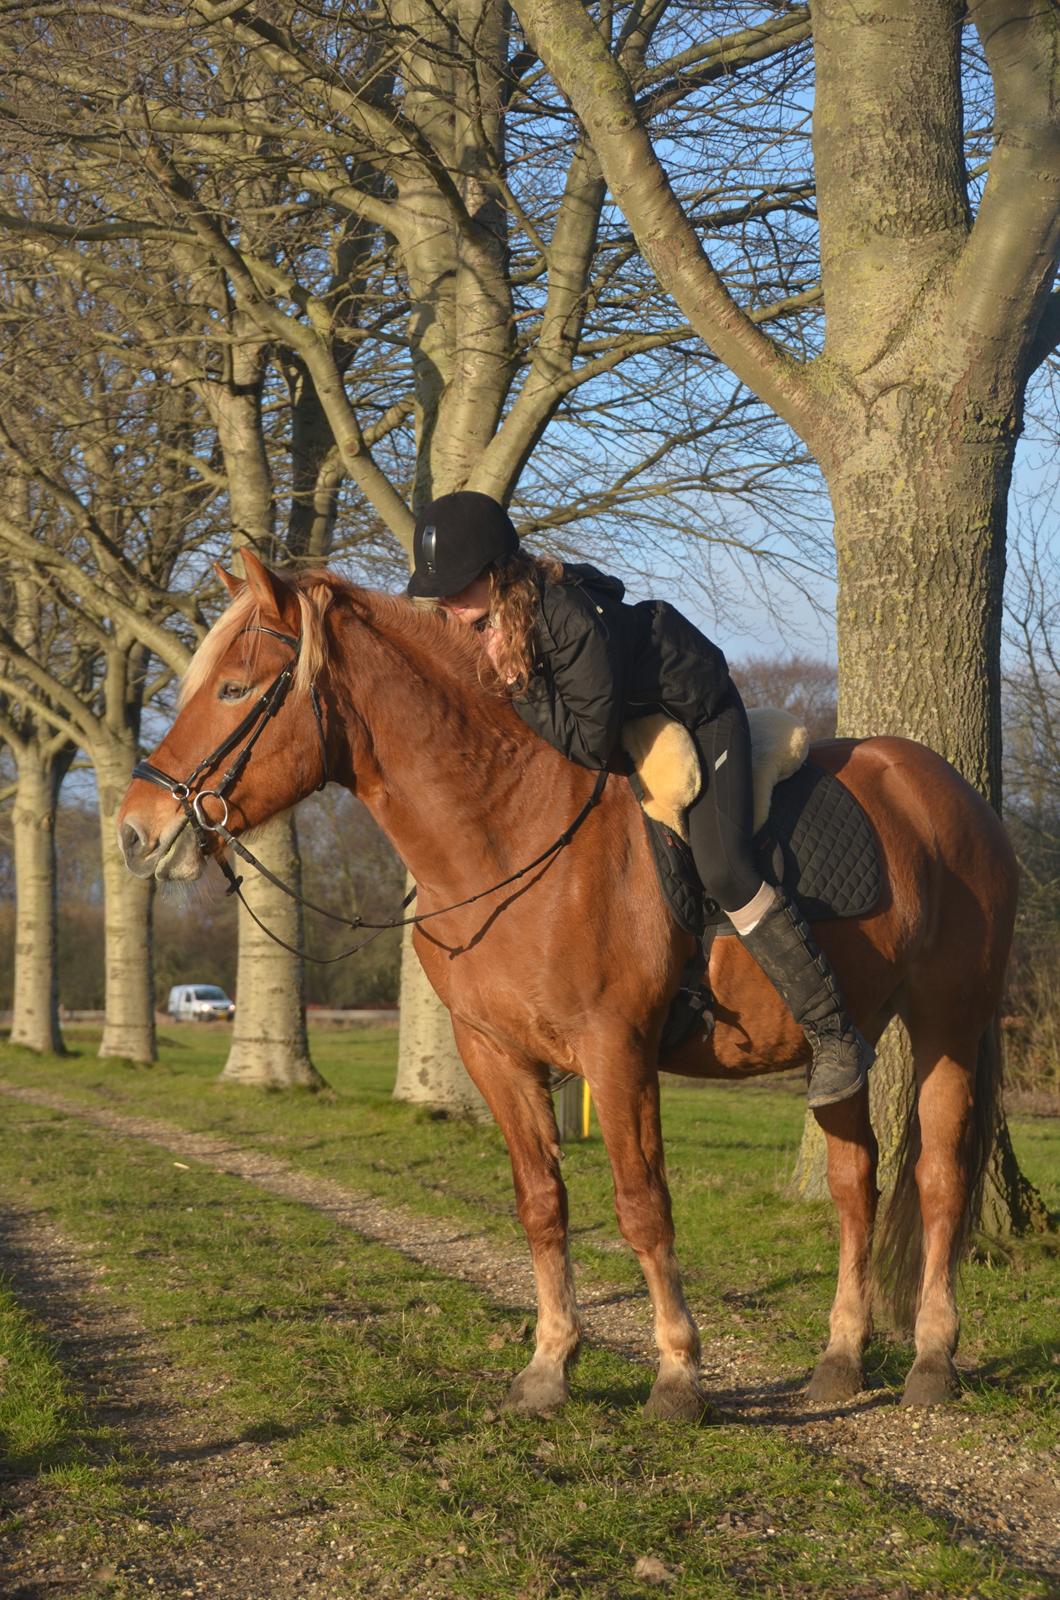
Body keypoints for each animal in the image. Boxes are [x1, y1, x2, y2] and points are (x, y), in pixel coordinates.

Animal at [116, 556, 1024, 1420]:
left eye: (234, 688)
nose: (135, 832)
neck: (509, 826)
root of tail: (950, 791)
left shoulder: (615, 1053)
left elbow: (642, 1207)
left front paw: (677, 1374)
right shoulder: (494, 1054)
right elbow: (541, 1204)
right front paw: (549, 1366)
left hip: (947, 1025)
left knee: (939, 1179)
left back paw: (932, 1359)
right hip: (844, 1039)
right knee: (853, 1180)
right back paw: (839, 1360)